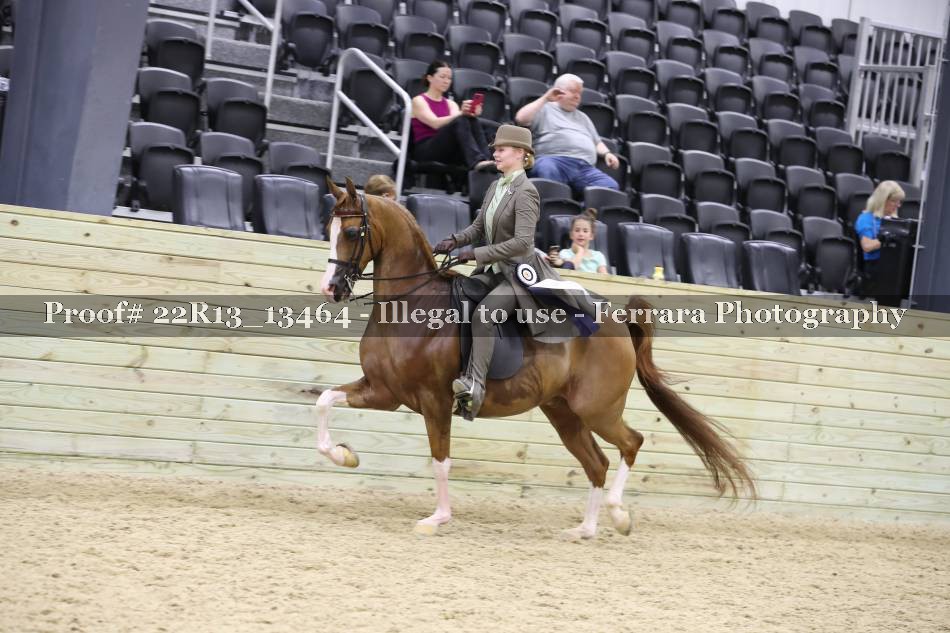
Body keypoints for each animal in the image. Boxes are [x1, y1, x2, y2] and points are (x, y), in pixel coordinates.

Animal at [315, 177, 756, 539]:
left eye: (352, 231)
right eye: (327, 230)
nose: (331, 288)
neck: (413, 304)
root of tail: (617, 321)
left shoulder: (434, 400)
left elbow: (441, 459)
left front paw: (437, 518)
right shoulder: (385, 391)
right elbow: (324, 401)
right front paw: (345, 455)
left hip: (596, 408)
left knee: (631, 443)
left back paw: (618, 515)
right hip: (564, 413)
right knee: (596, 463)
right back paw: (585, 529)